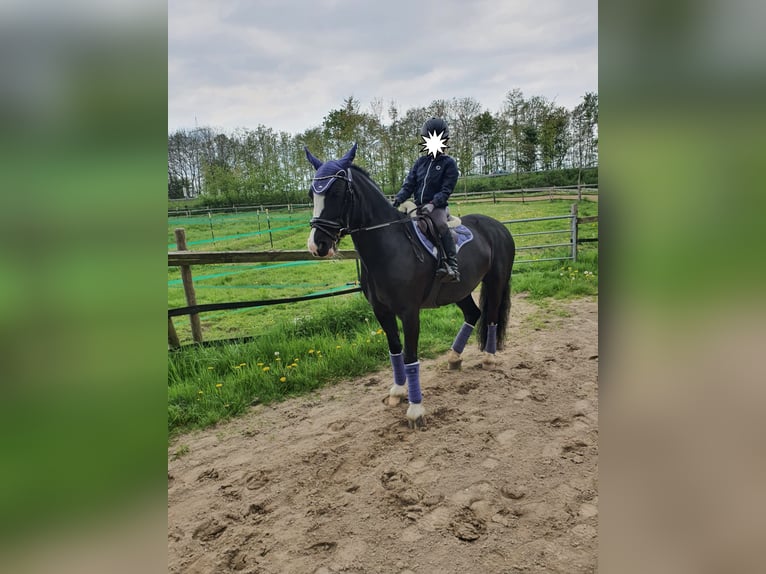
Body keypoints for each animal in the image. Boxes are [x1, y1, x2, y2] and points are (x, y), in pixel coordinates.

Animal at [306, 143, 516, 430]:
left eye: (337, 192)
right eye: (311, 194)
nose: (318, 245)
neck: (391, 247)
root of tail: (498, 227)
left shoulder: (409, 312)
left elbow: (410, 355)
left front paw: (416, 410)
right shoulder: (381, 311)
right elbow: (395, 351)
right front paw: (397, 392)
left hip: (495, 282)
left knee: (492, 316)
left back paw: (489, 357)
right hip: (459, 290)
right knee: (474, 313)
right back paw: (454, 358)